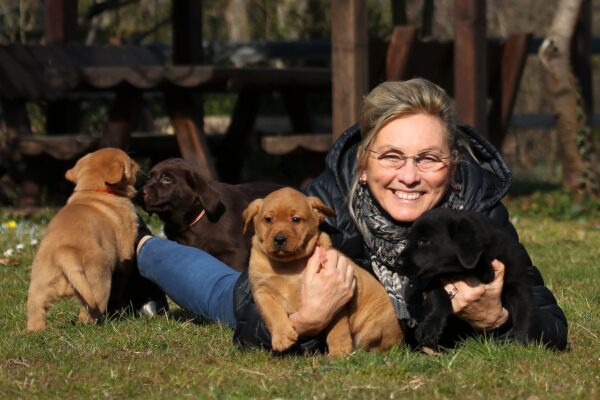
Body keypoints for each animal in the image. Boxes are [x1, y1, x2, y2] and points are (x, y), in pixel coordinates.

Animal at [398, 208, 540, 348]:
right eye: (407, 241)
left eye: (423, 241)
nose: (396, 262)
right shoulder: (429, 280)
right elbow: (440, 298)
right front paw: (431, 327)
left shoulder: (518, 285)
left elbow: (524, 314)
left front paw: (524, 346)